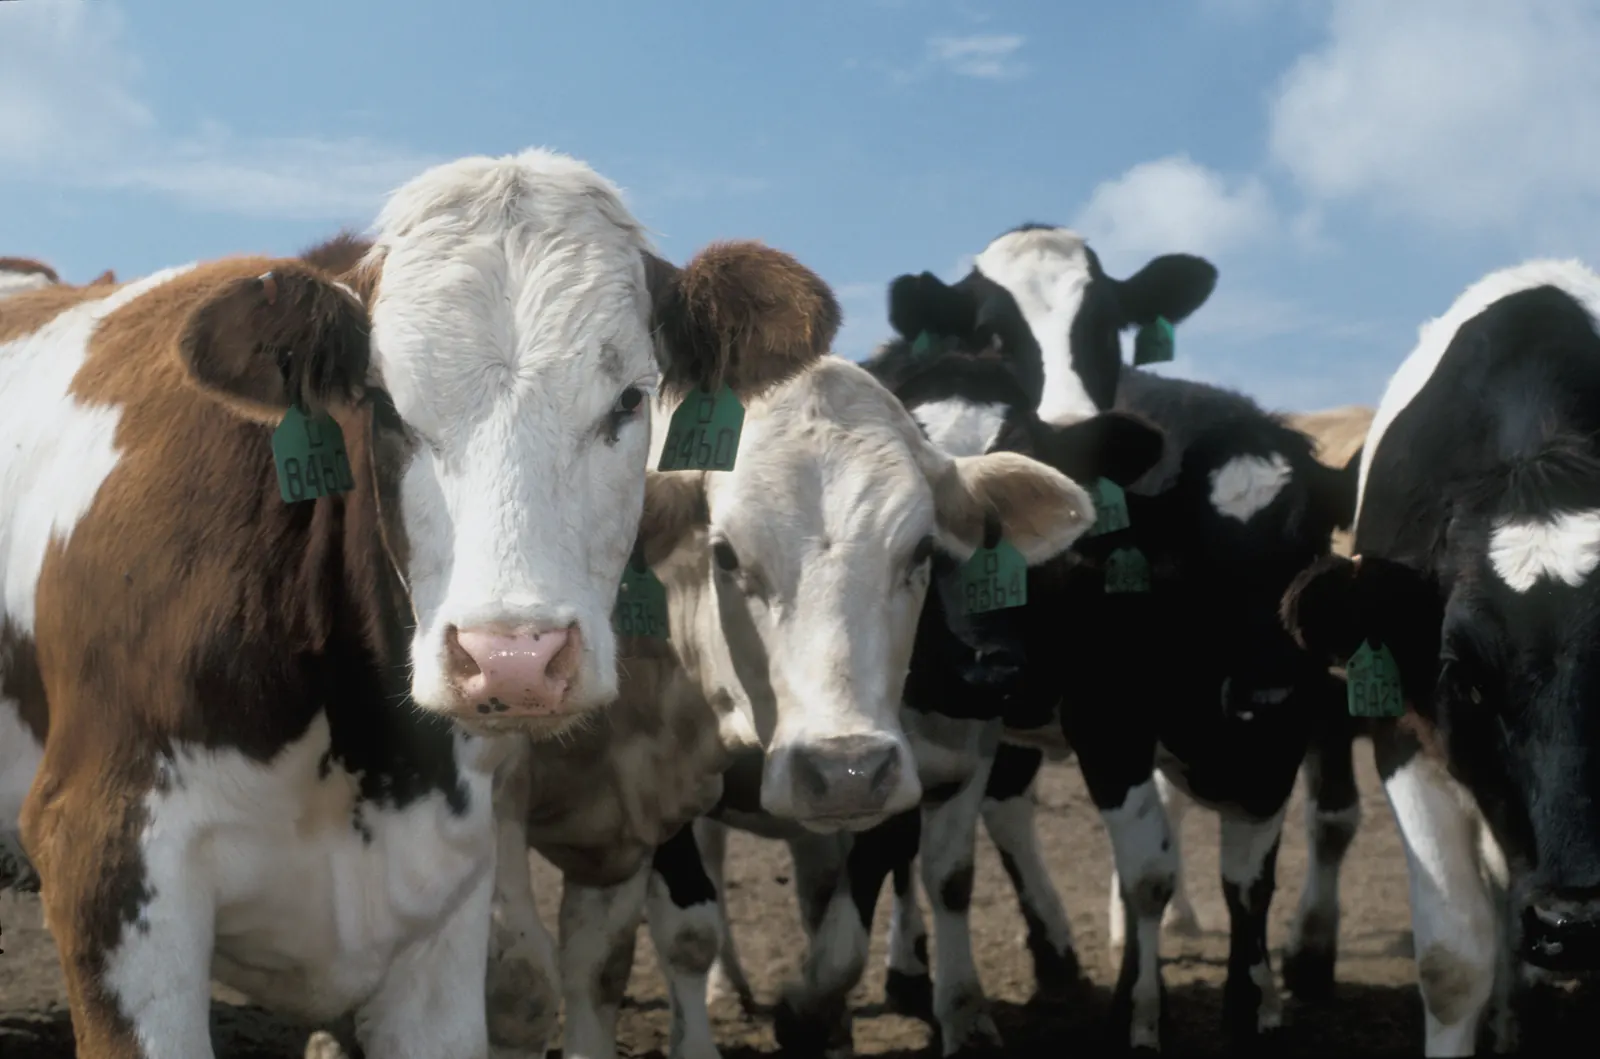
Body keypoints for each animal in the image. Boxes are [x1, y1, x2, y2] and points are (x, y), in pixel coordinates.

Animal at [488, 353, 1115, 1059]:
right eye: (725, 552)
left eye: (923, 549)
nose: (844, 768)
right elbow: (682, 933)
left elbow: (867, 920)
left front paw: (824, 1015)